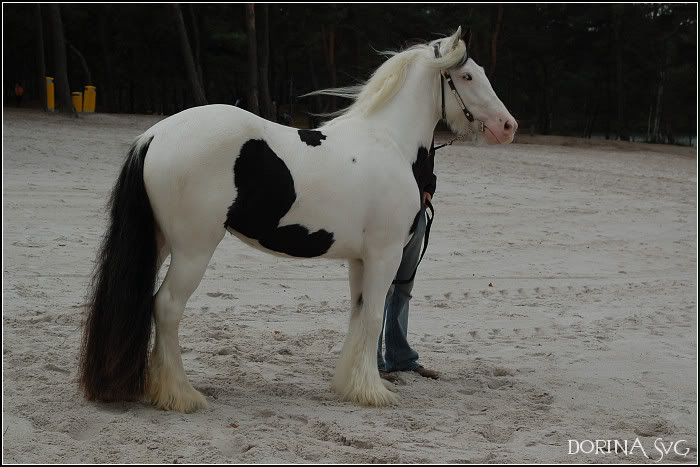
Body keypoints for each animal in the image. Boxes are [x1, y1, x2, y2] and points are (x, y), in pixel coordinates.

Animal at [78, 26, 516, 414]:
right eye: (467, 75)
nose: (508, 126)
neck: (389, 142)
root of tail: (155, 135)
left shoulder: (360, 259)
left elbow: (358, 314)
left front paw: (349, 387)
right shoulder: (385, 254)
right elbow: (375, 316)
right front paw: (375, 392)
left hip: (159, 241)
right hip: (193, 250)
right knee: (166, 307)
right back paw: (181, 396)